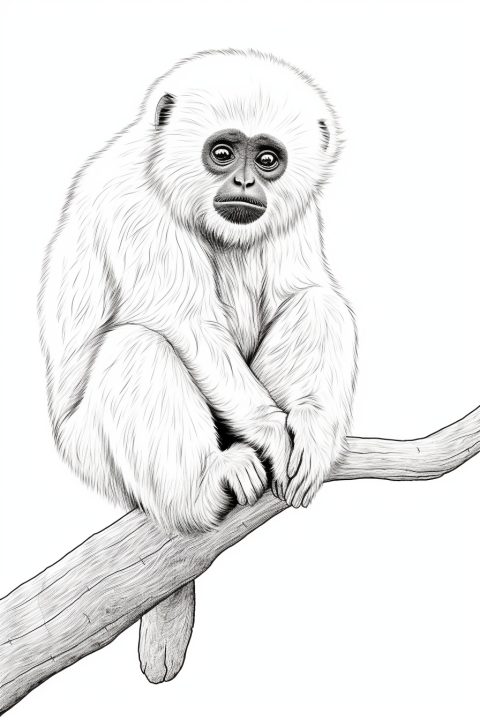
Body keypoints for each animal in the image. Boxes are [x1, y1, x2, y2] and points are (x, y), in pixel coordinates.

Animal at [38, 49, 357, 681]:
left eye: (267, 160)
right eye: (223, 153)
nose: (244, 182)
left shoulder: (298, 215)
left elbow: (303, 290)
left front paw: (307, 432)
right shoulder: (134, 203)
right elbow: (186, 322)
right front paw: (273, 435)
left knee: (318, 303)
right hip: (91, 456)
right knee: (137, 348)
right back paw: (207, 487)